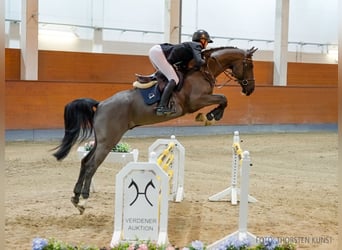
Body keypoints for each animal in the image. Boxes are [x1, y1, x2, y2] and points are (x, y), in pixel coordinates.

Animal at [53, 45, 256, 213]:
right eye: (249, 65)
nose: (251, 89)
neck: (203, 70)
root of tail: (100, 104)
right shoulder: (196, 101)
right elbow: (223, 98)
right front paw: (212, 116)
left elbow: (222, 99)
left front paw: (209, 116)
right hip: (109, 140)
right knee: (91, 165)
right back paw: (83, 201)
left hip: (101, 140)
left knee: (85, 161)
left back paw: (75, 198)